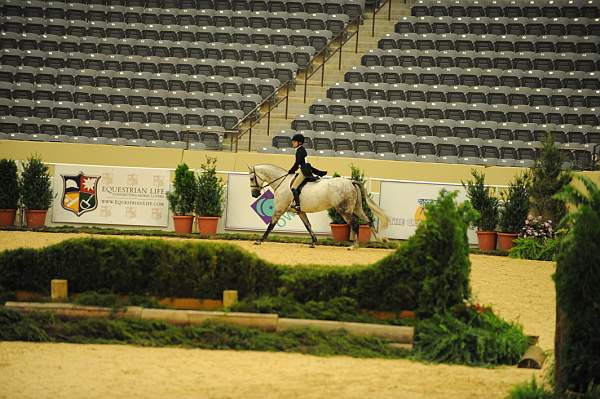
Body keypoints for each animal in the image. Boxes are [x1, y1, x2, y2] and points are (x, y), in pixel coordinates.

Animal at [247, 164, 390, 248]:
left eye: (251, 178)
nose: (254, 194)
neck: (282, 182)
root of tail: (351, 182)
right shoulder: (300, 212)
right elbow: (308, 225)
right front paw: (314, 242)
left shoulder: (279, 209)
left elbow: (271, 225)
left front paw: (260, 240)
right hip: (357, 208)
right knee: (368, 221)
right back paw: (379, 240)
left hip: (344, 210)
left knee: (355, 224)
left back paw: (354, 246)